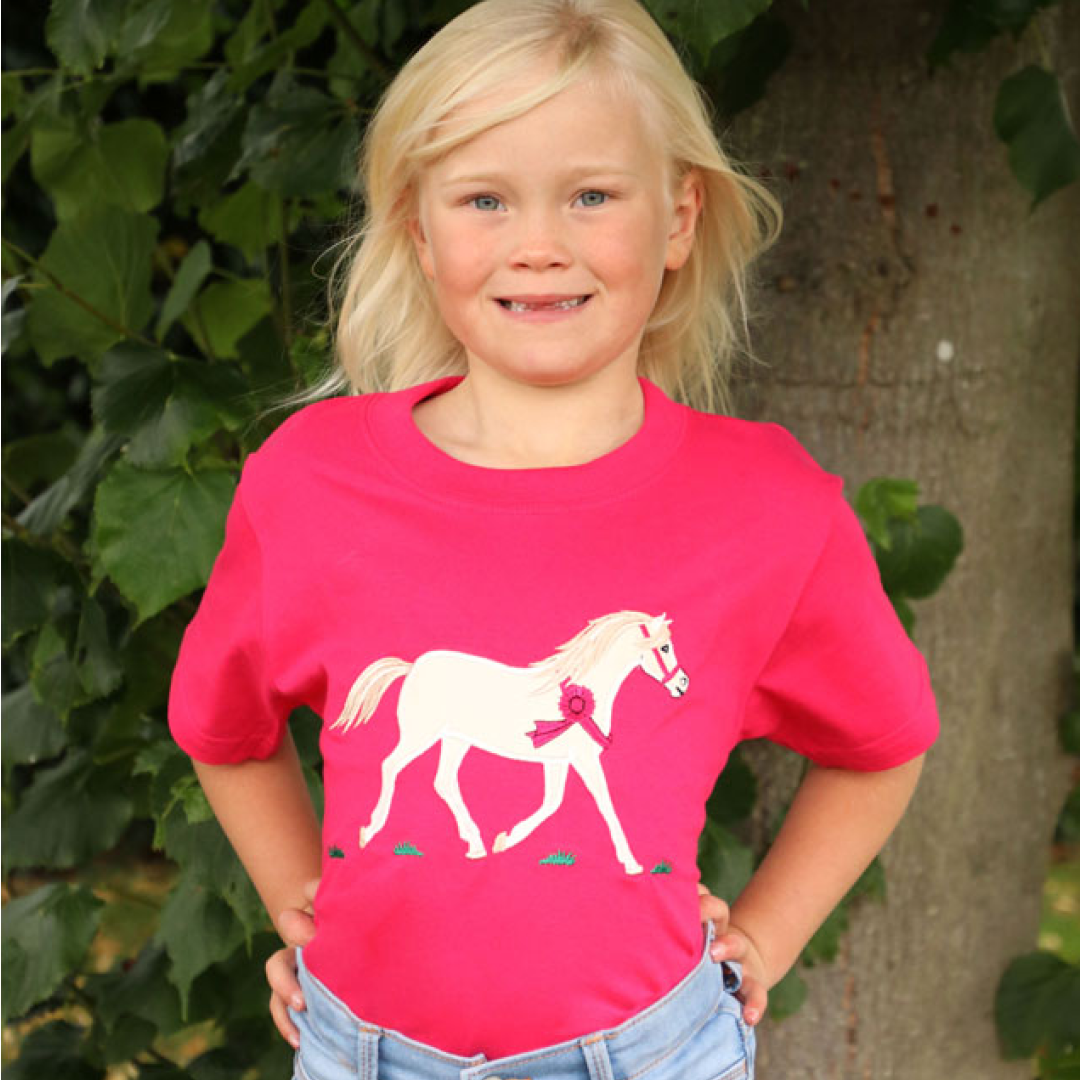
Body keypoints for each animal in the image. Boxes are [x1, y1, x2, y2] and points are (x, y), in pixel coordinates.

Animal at [330, 610, 689, 875]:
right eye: (665, 647)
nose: (683, 684)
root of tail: (413, 666)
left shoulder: (556, 761)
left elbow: (552, 802)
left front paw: (504, 840)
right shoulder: (584, 759)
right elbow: (605, 804)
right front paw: (632, 863)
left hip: (455, 740)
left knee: (443, 781)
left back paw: (476, 844)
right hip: (421, 734)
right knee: (390, 766)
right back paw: (369, 832)